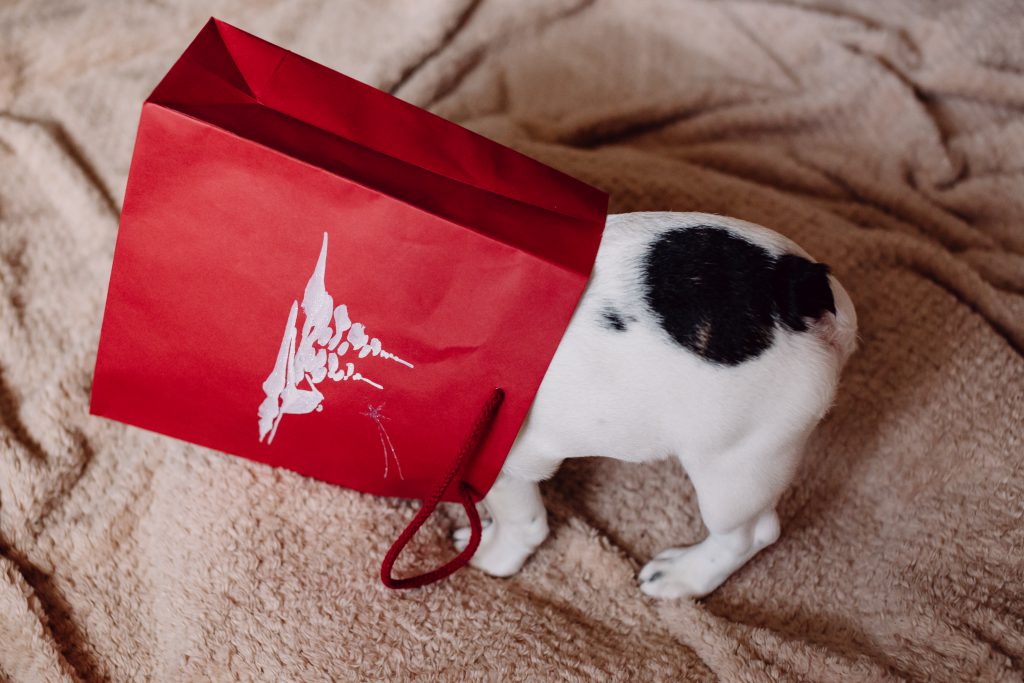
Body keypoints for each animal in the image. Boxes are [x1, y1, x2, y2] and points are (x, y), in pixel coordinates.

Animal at [454, 209, 856, 598]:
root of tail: (803, 291)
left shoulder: (496, 462)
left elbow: (519, 521)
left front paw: (491, 554)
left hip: (737, 466)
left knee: (749, 534)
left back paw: (683, 575)